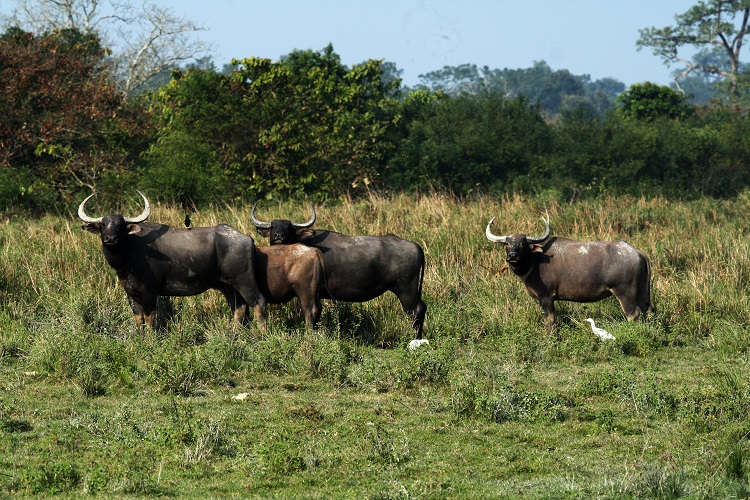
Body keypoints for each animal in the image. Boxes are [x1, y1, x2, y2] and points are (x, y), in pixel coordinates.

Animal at [78, 193, 268, 330]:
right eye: (104, 224)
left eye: (120, 225)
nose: (110, 239)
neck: (131, 253)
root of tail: (247, 239)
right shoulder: (132, 294)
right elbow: (138, 319)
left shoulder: (150, 291)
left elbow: (149, 317)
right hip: (228, 286)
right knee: (239, 308)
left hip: (244, 281)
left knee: (259, 302)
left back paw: (261, 334)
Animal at [253, 203, 428, 340]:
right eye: (273, 226)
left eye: (289, 228)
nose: (278, 236)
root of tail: (415, 246)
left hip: (406, 291)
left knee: (417, 310)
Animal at [488, 216, 652, 328]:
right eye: (507, 243)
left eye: (522, 243)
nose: (512, 256)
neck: (535, 261)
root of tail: (637, 253)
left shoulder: (546, 297)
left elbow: (550, 321)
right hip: (642, 294)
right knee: (645, 311)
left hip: (625, 294)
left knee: (633, 314)